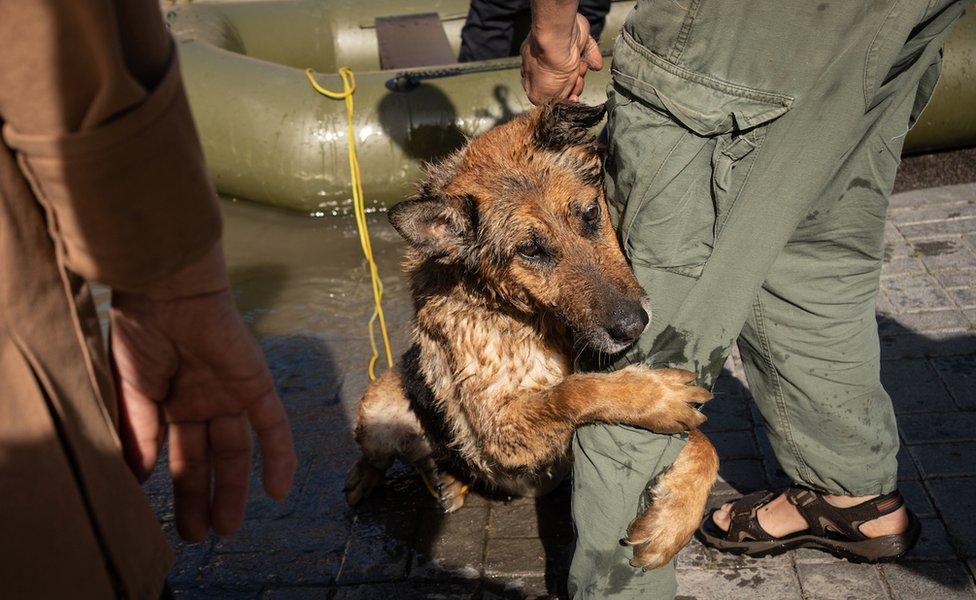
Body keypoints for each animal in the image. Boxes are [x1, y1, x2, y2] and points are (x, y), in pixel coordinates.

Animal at [346, 101, 720, 568]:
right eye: (529, 250)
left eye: (590, 214)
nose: (634, 325)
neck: (529, 315)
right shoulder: (497, 432)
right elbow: (573, 392)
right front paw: (651, 396)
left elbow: (705, 444)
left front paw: (674, 519)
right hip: (379, 408)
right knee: (378, 456)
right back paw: (375, 480)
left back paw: (449, 480)